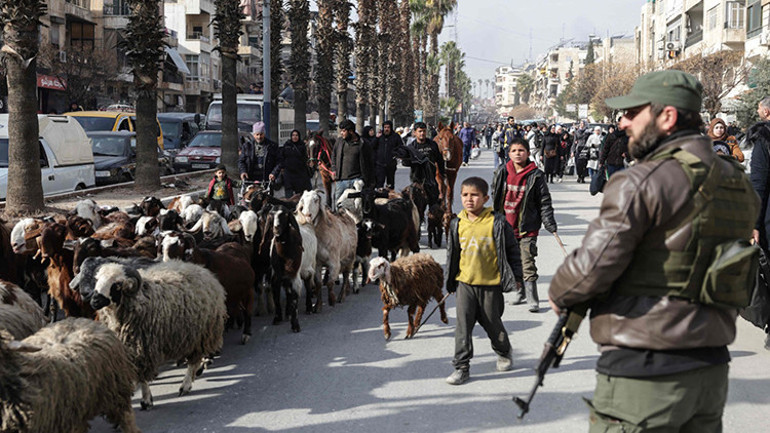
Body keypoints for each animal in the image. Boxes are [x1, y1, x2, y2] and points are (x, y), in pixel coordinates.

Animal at [89, 260, 227, 410]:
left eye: (117, 284)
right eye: (97, 280)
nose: (94, 300)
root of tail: (200, 269)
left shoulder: (143, 348)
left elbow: (142, 375)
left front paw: (146, 400)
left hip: (201, 334)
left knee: (193, 361)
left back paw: (186, 384)